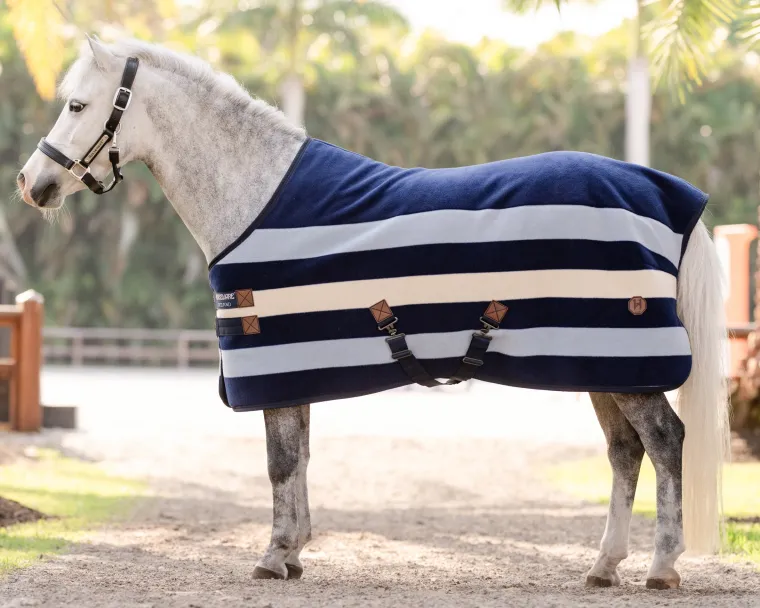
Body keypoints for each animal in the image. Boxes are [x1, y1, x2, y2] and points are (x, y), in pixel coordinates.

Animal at [17, 36, 729, 589]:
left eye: (77, 105)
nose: (31, 184)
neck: (256, 195)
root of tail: (669, 195)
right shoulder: (291, 371)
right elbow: (300, 457)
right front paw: (295, 553)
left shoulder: (272, 365)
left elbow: (280, 463)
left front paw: (273, 557)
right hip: (603, 366)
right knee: (624, 452)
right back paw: (604, 565)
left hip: (627, 366)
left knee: (664, 443)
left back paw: (661, 567)